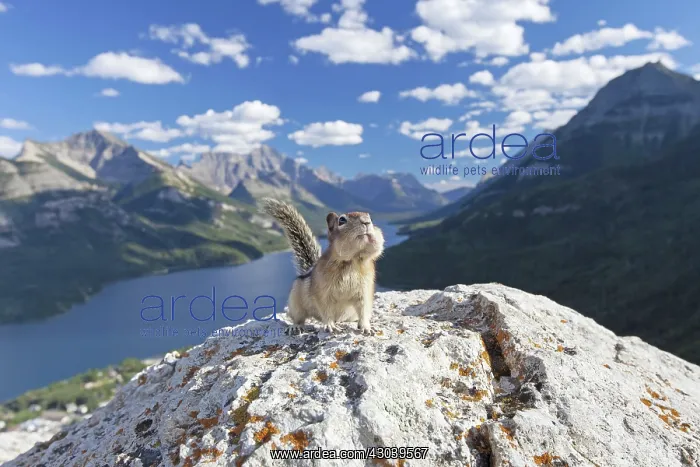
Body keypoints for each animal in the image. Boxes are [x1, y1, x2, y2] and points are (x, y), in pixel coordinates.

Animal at [260, 198, 385, 335]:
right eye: (342, 220)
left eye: (370, 217)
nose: (367, 222)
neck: (351, 260)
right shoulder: (322, 290)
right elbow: (326, 308)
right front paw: (330, 325)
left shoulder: (364, 290)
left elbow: (364, 310)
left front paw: (367, 327)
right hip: (295, 303)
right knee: (298, 318)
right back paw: (296, 326)